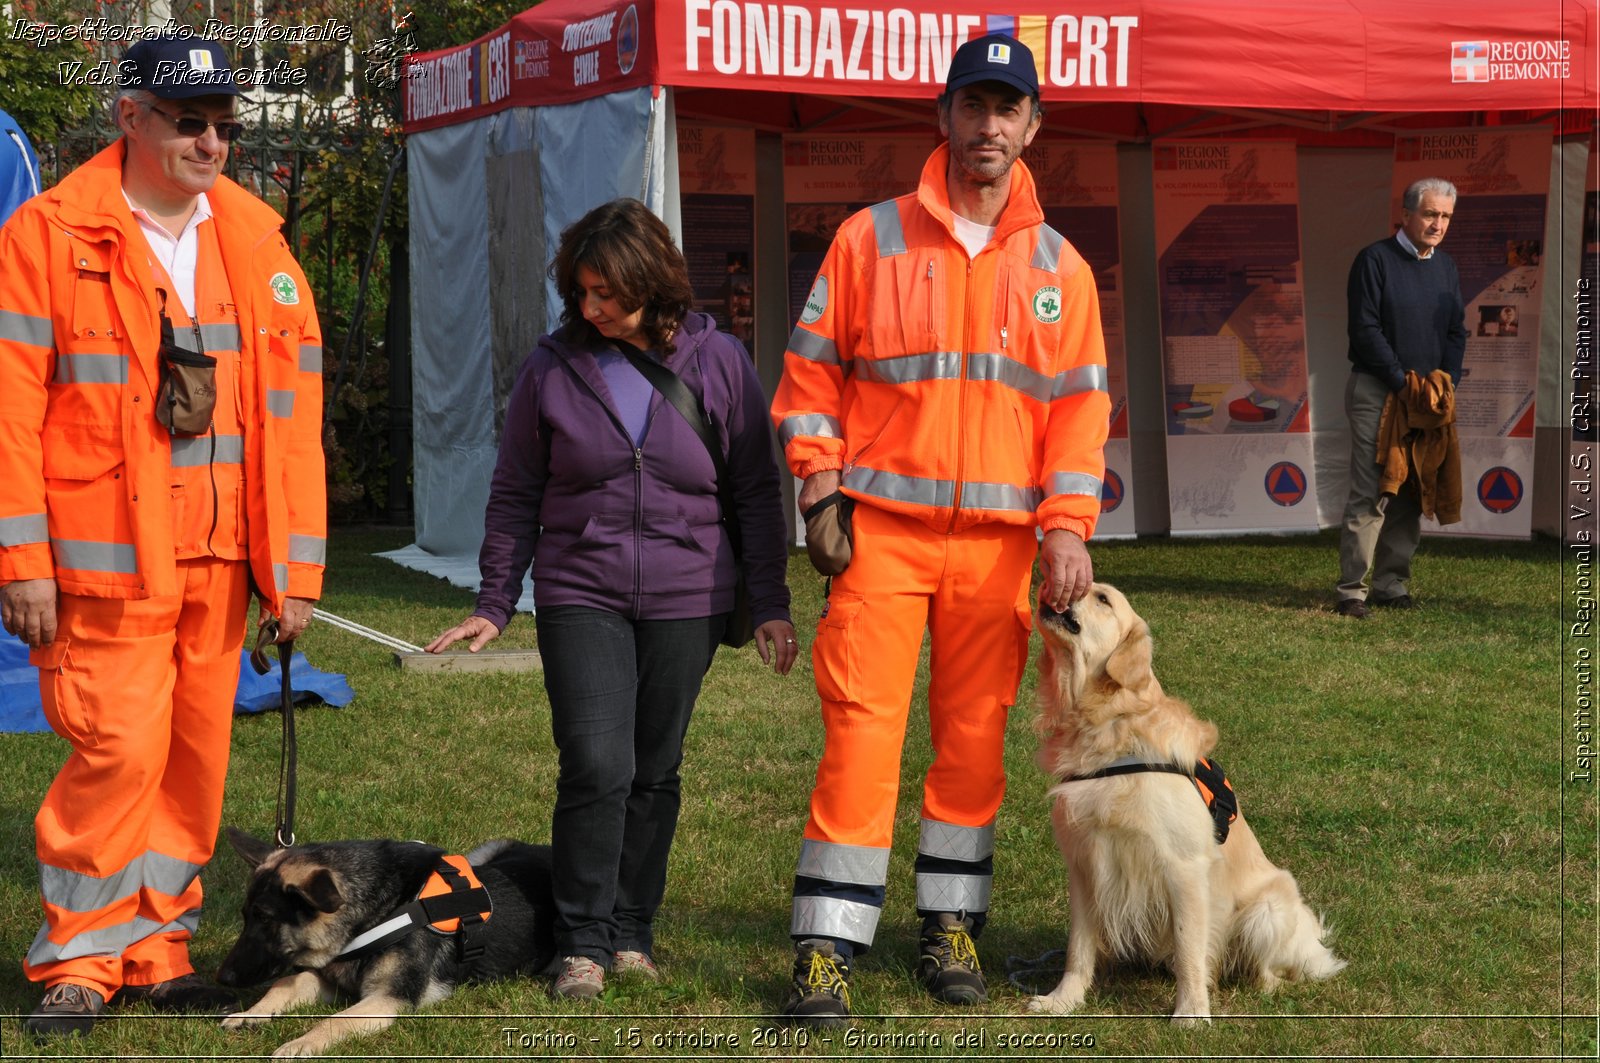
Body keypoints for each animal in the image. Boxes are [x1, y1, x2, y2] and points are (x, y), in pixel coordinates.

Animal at [216, 832, 556, 1056]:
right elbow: (288, 982)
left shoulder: (389, 999)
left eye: (265, 919)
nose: (222, 978)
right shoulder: (336, 980)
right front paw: (251, 1014)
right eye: (245, 916)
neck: (381, 911)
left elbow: (335, 1020)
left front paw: (300, 1043)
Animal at [1024, 585, 1337, 1024]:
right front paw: (1063, 999)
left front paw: (1191, 1013)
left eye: (1102, 599)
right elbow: (1078, 947)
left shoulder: (1183, 867)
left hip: (1267, 910)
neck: (1111, 723)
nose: (1057, 586)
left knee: (1267, 968)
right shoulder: (1086, 866)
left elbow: (1190, 947)